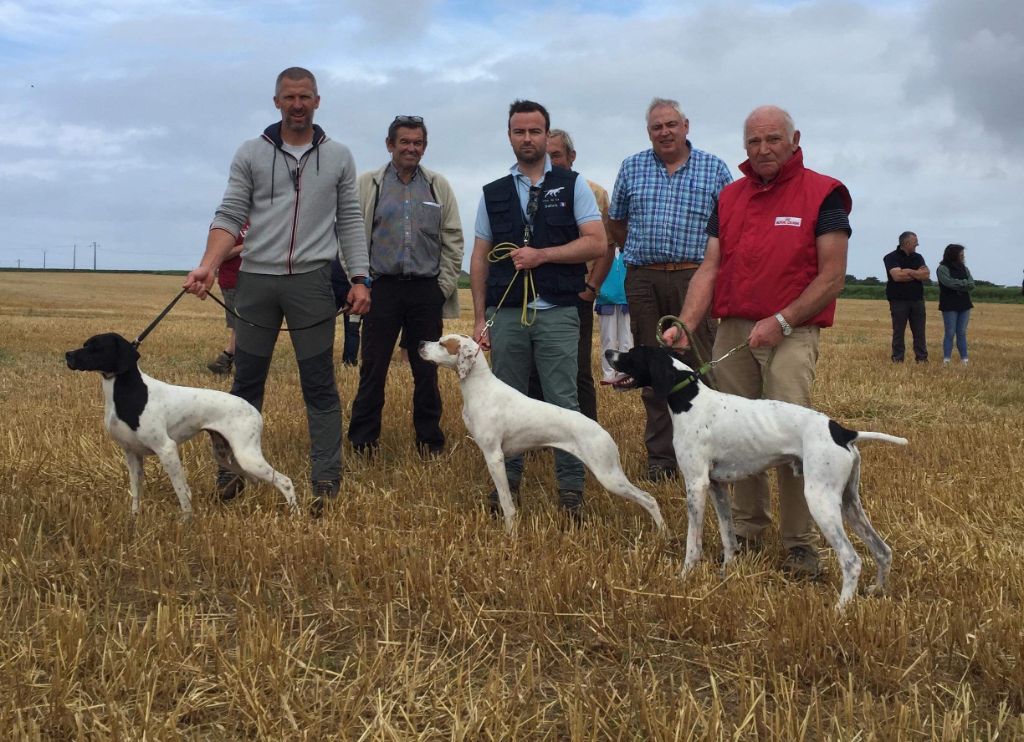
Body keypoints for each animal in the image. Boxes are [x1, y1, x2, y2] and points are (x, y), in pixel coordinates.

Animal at [66, 333, 299, 517]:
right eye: (85, 343)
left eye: (96, 347)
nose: (68, 355)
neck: (129, 392)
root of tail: (255, 412)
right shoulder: (132, 454)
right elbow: (136, 493)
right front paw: (134, 518)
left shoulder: (167, 449)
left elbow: (182, 491)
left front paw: (187, 521)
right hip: (226, 456)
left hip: (247, 456)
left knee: (285, 481)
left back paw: (295, 514)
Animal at [415, 333, 663, 528]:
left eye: (442, 343)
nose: (420, 343)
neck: (480, 388)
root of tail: (604, 432)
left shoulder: (494, 455)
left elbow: (507, 502)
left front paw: (510, 533)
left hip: (609, 475)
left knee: (649, 499)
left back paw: (662, 533)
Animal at [606, 343, 905, 605]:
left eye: (632, 353)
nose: (608, 352)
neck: (690, 399)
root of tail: (843, 431)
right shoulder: (716, 487)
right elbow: (728, 537)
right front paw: (727, 572)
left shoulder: (696, 484)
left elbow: (693, 543)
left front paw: (684, 576)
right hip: (849, 502)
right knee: (883, 551)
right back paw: (877, 590)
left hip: (821, 500)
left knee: (852, 560)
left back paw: (840, 609)